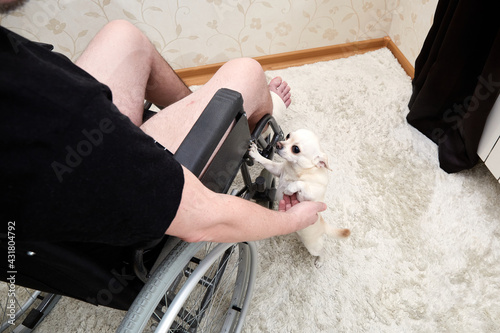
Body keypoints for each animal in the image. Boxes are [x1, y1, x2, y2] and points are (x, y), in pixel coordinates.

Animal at [248, 127, 350, 268]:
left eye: (295, 149)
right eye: (288, 136)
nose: (278, 144)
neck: (295, 170)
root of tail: (323, 225)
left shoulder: (307, 198)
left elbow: (301, 184)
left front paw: (290, 187)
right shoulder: (277, 170)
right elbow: (268, 162)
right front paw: (256, 154)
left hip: (313, 246)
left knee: (323, 250)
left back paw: (320, 261)